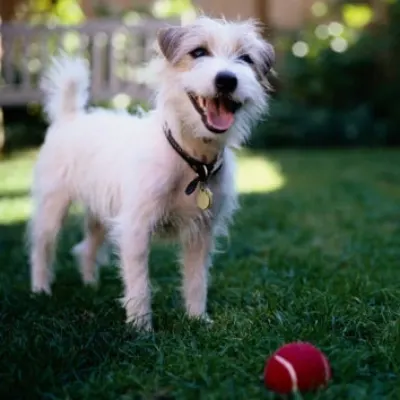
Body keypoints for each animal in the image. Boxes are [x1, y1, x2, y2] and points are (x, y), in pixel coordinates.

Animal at [28, 16, 276, 332]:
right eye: (198, 52)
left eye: (245, 58)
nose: (227, 80)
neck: (192, 160)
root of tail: (70, 116)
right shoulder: (135, 228)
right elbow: (139, 284)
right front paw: (141, 328)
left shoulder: (201, 233)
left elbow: (197, 280)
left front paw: (197, 319)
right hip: (53, 208)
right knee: (42, 247)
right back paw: (40, 290)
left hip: (101, 215)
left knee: (85, 247)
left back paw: (90, 284)